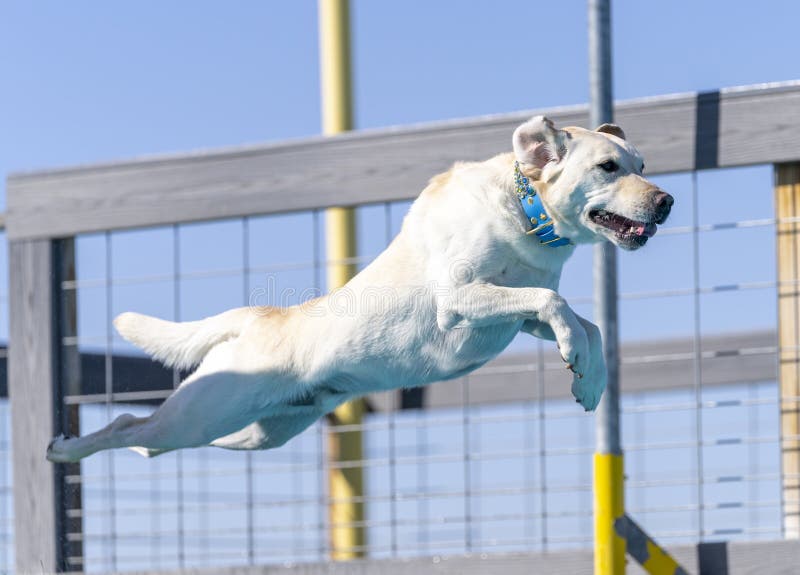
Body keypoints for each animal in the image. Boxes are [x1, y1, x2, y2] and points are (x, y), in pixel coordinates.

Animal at [48, 117, 668, 464]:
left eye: (642, 163)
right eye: (609, 167)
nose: (666, 201)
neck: (527, 212)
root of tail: (258, 316)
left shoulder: (517, 318)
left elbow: (586, 323)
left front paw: (590, 379)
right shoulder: (458, 300)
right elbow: (554, 302)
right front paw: (576, 360)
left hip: (254, 432)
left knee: (150, 437)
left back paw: (128, 449)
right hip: (207, 411)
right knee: (131, 423)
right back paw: (64, 449)